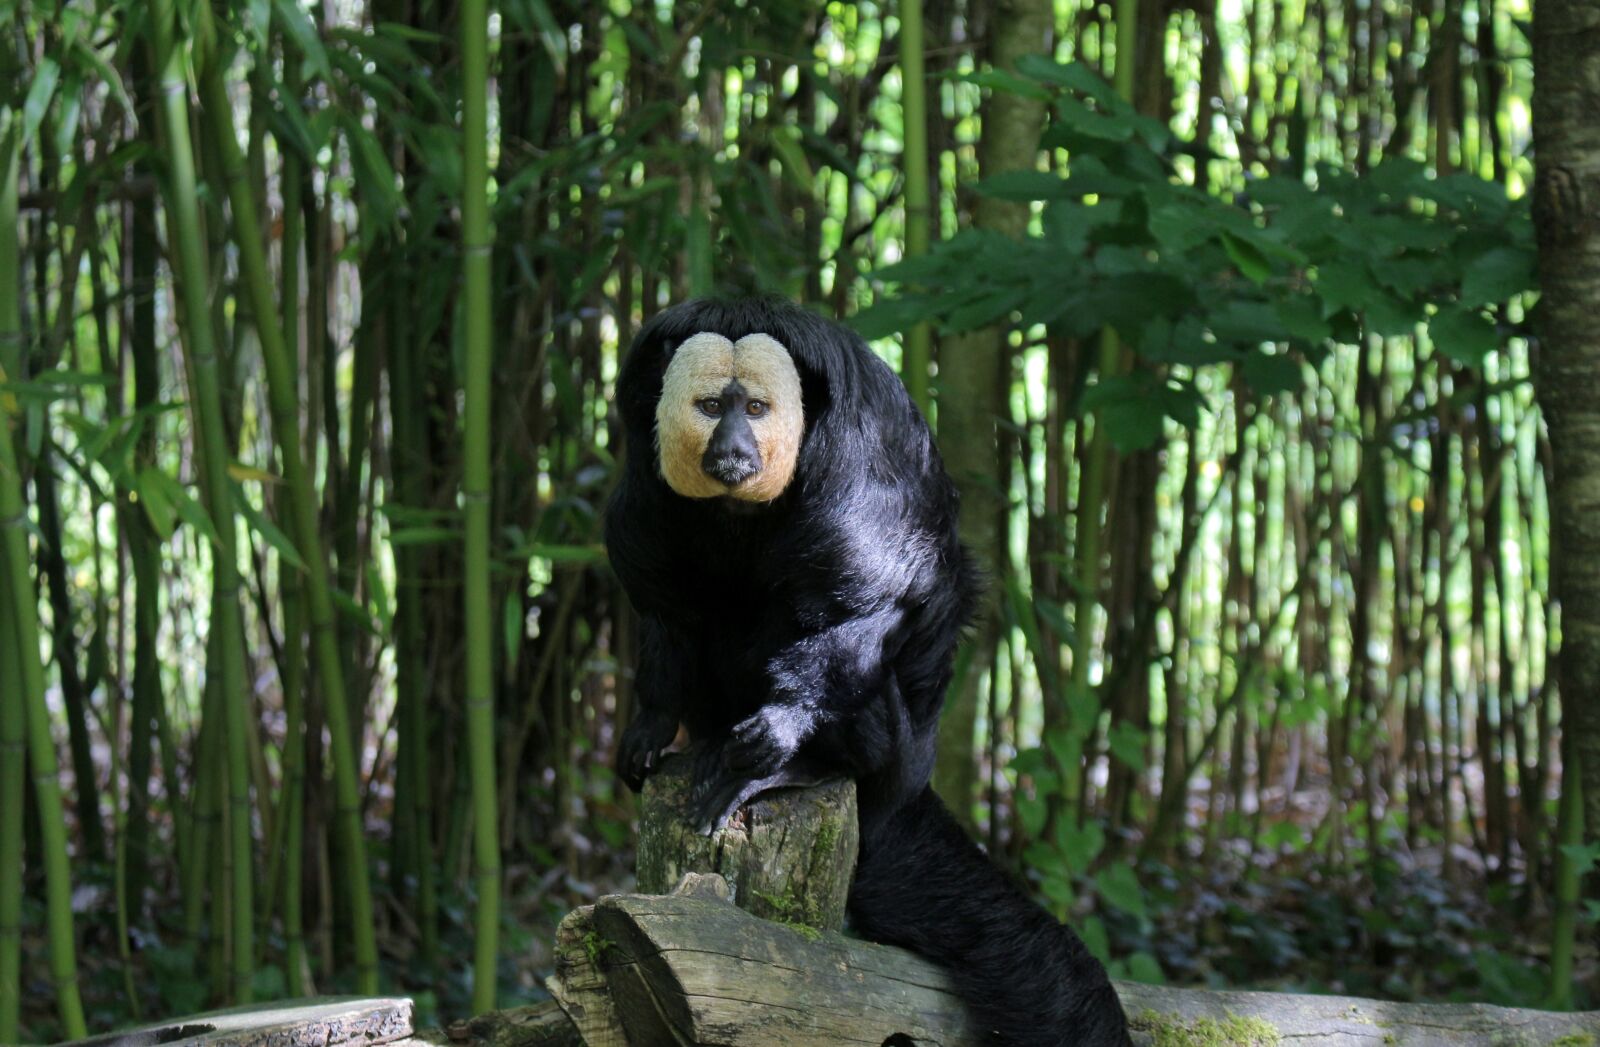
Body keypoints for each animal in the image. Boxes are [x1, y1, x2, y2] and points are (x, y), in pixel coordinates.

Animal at [606, 296, 1131, 1047]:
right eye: (710, 406)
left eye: (756, 408)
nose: (733, 448)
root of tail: (905, 786)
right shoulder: (647, 476)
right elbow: (664, 597)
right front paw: (651, 723)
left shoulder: (858, 456)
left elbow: (874, 595)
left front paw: (781, 730)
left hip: (895, 746)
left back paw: (803, 767)